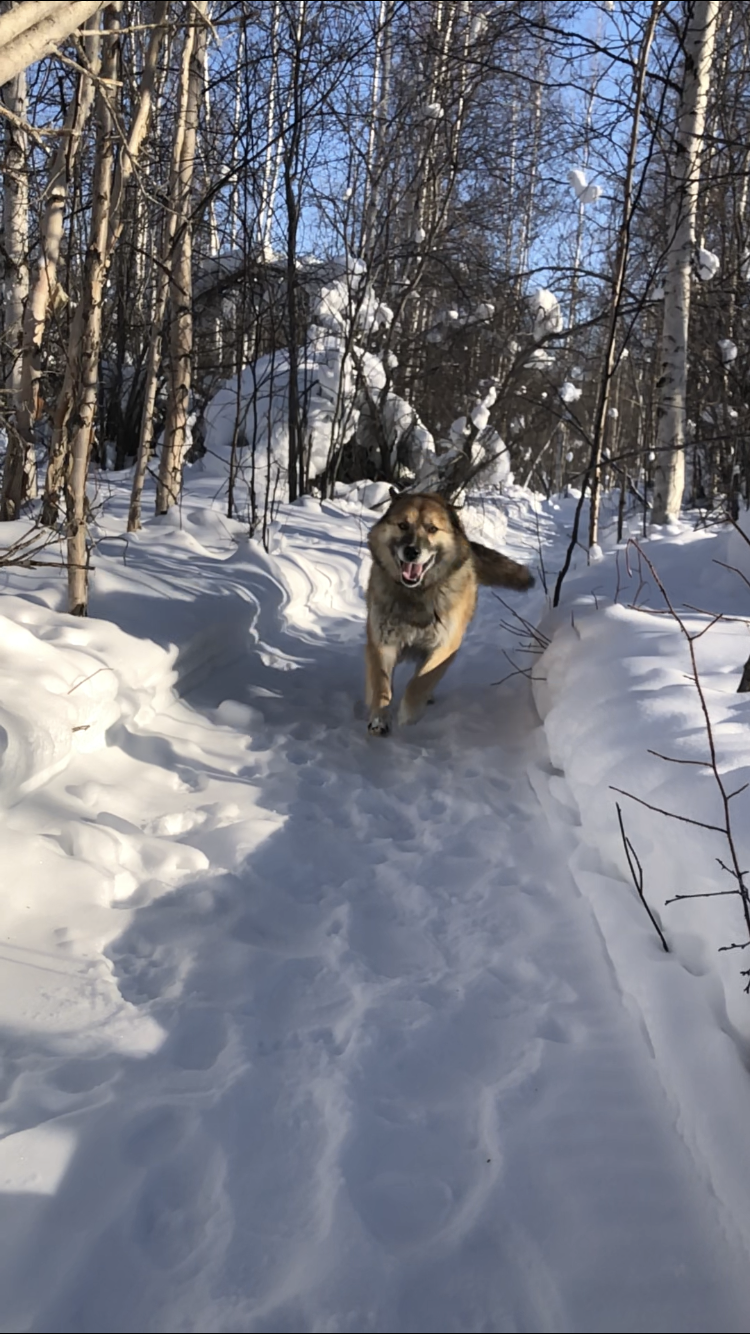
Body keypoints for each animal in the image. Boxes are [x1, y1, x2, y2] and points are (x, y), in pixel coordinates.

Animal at [362, 493, 531, 741]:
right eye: (403, 525)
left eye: (432, 529)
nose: (412, 551)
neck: (417, 594)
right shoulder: (382, 643)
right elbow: (382, 684)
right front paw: (379, 717)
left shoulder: (445, 646)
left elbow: (419, 683)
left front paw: (408, 714)